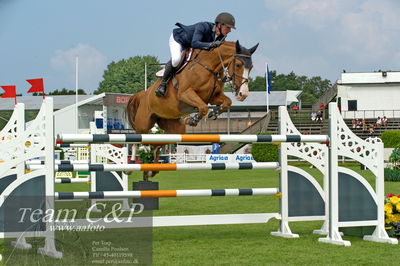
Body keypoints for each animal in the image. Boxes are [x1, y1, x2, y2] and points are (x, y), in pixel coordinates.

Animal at [127, 40, 260, 180]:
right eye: (239, 65)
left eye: (251, 67)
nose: (243, 94)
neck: (208, 67)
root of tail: (143, 94)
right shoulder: (186, 94)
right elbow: (203, 107)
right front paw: (192, 119)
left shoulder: (213, 96)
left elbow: (226, 102)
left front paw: (213, 114)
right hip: (144, 123)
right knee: (137, 140)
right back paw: (130, 167)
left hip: (174, 128)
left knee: (157, 144)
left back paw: (152, 170)